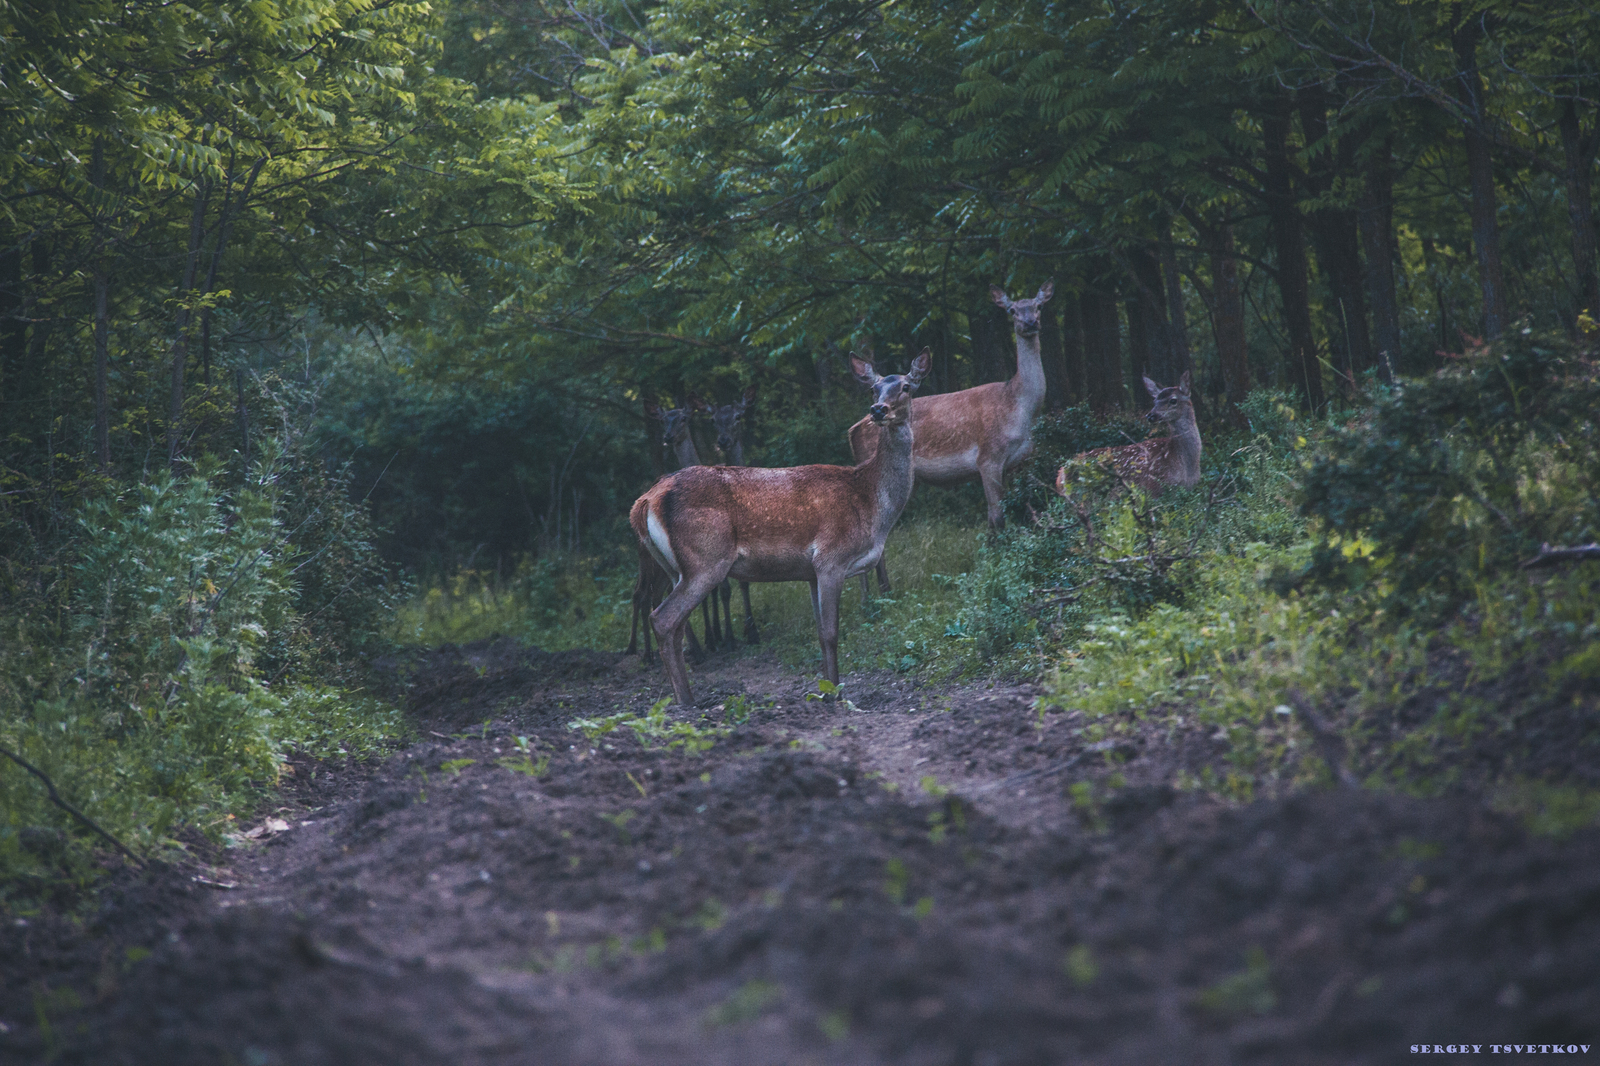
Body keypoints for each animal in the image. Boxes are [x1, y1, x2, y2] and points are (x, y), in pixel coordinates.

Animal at [691, 385, 758, 643]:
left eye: (738, 416)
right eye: (713, 420)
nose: (723, 440)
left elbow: (744, 584)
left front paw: (752, 630)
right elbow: (727, 589)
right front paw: (731, 635)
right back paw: (715, 637)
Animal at [844, 278, 1056, 601]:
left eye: (1039, 305)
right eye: (1011, 310)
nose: (1030, 323)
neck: (1018, 406)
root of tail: (851, 431)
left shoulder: (1022, 460)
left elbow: (1015, 513)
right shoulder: (988, 456)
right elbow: (998, 516)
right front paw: (997, 567)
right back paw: (877, 596)